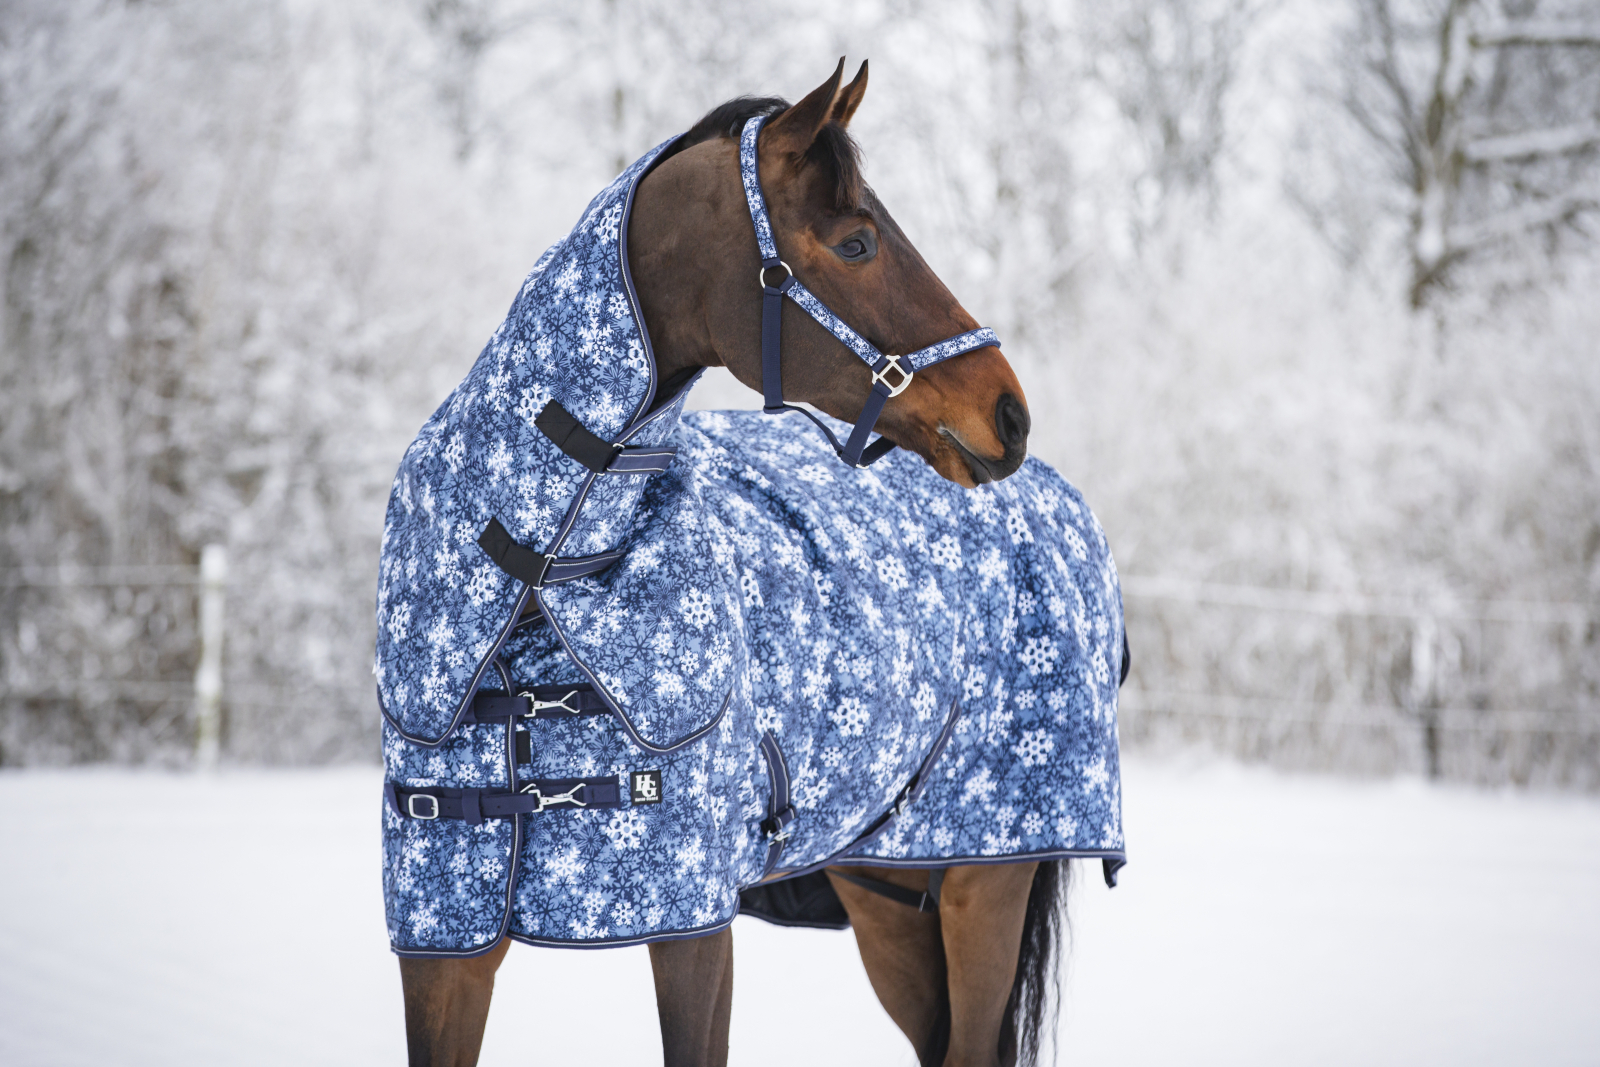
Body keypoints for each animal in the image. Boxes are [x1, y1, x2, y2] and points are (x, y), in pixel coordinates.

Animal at [381, 60, 1125, 1067]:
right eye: (857, 242)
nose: (1008, 412)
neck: (536, 590)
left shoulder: (695, 928)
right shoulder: (441, 945)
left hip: (986, 879)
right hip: (887, 892)